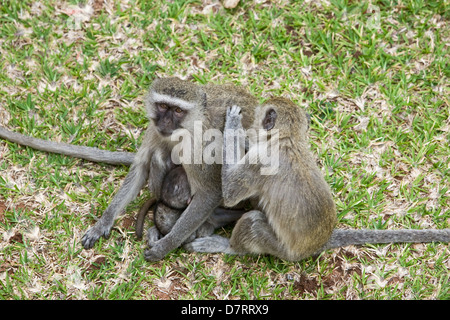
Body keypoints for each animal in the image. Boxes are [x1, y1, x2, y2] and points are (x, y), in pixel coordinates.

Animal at [184, 99, 450, 260]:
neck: (289, 139)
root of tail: (317, 244)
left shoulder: (260, 160)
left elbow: (230, 193)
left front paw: (234, 126)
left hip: (282, 250)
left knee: (253, 223)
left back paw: (228, 248)